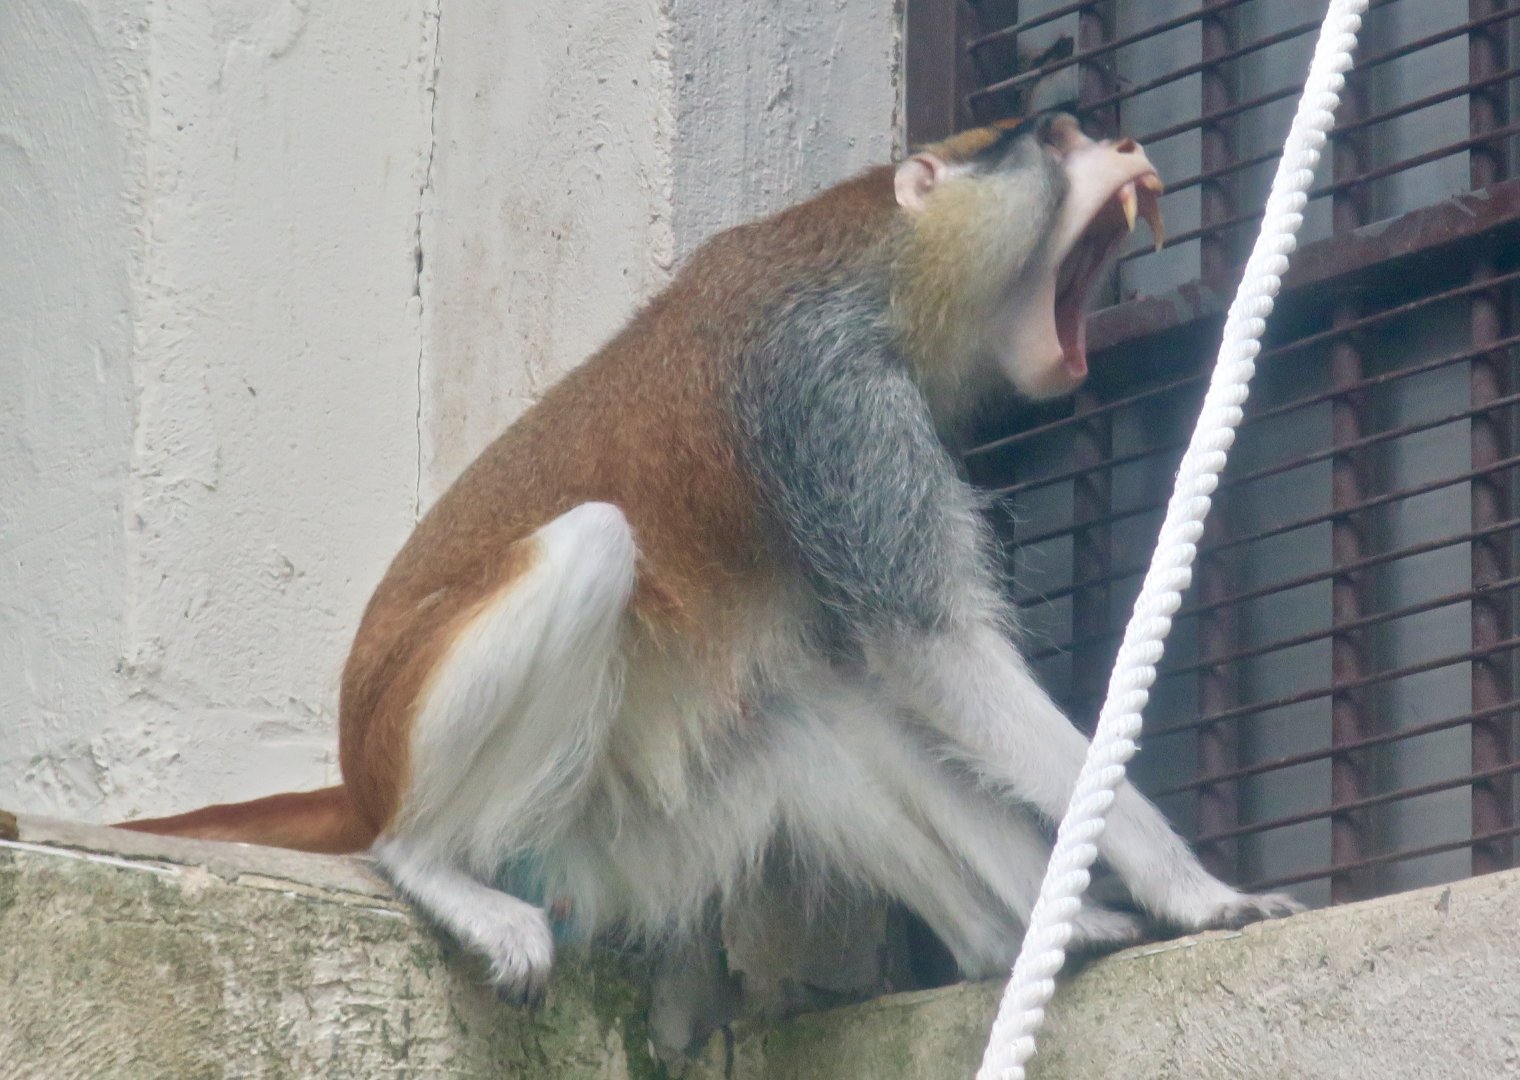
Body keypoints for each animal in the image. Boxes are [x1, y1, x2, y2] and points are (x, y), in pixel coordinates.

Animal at [121, 111, 1299, 1030]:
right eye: (1054, 137)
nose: (1125, 146)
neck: (876, 259)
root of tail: (360, 771)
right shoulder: (830, 402)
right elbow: (931, 650)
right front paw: (1197, 895)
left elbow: (878, 683)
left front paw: (1095, 908)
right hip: (446, 762)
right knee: (596, 547)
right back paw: (432, 866)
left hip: (611, 839)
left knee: (808, 717)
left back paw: (999, 938)